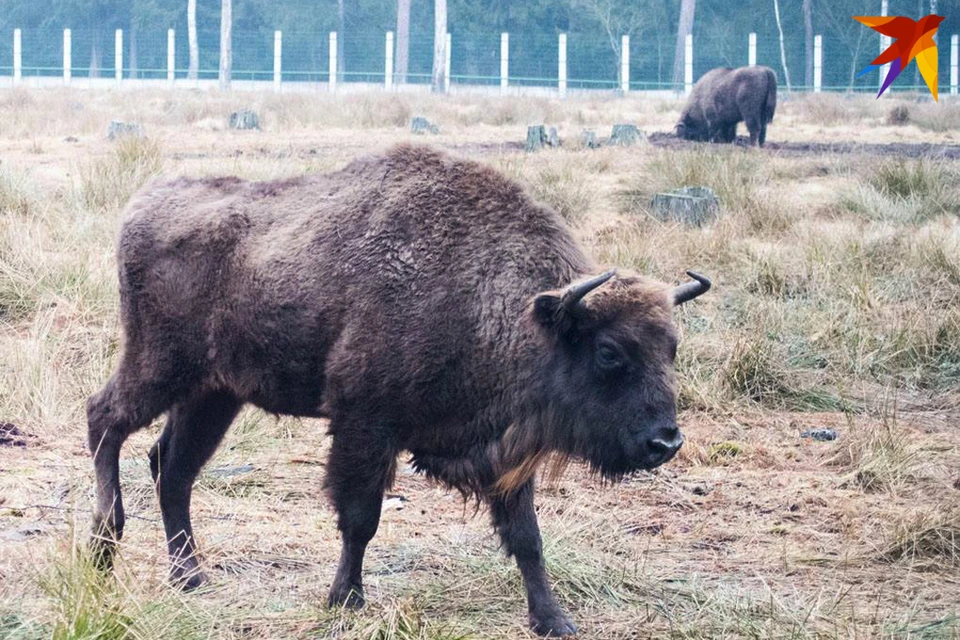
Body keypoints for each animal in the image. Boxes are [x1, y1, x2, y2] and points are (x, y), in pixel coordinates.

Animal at [86, 144, 708, 636]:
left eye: (672, 348)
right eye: (609, 352)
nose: (666, 442)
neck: (505, 308)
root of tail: (143, 204)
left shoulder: (504, 452)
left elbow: (527, 537)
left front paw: (554, 621)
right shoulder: (365, 424)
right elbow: (361, 518)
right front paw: (345, 600)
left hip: (214, 393)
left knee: (172, 466)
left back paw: (189, 576)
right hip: (160, 365)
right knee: (104, 420)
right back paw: (103, 547)